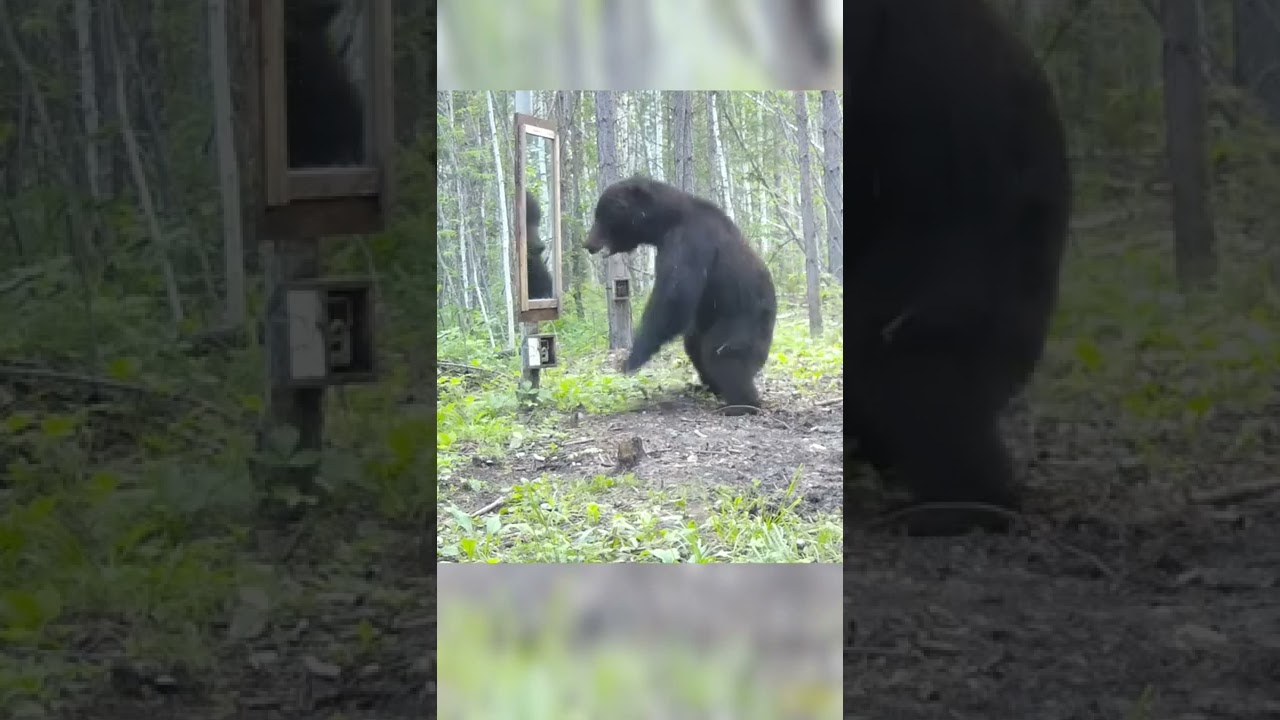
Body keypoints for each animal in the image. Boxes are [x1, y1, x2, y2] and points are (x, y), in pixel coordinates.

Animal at [584, 176, 777, 416]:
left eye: (602, 215)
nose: (587, 243)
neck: (666, 222)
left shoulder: (688, 243)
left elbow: (673, 300)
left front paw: (631, 360)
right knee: (694, 345)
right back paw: (708, 386)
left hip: (740, 321)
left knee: (721, 355)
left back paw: (739, 404)